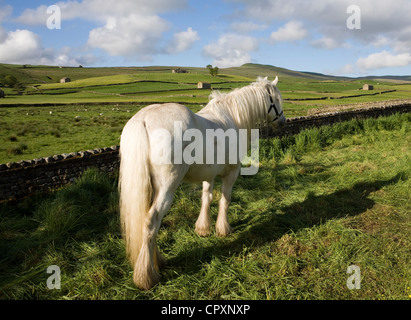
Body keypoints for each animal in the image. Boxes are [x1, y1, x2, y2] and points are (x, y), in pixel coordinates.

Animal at [119, 76, 286, 288]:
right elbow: (225, 200)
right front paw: (223, 229)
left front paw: (203, 228)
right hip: (166, 189)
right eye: (277, 100)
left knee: (146, 221)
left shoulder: (209, 175)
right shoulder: (231, 174)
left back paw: (159, 262)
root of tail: (144, 120)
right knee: (151, 221)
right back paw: (146, 276)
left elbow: (207, 199)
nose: (283, 121)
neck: (234, 117)